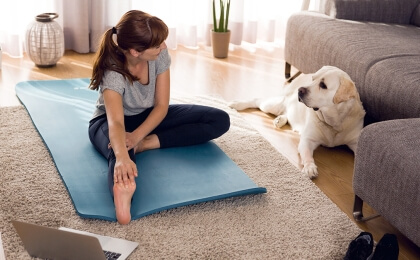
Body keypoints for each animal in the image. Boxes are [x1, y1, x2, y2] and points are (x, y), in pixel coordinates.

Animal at [230, 65, 364, 179]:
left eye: (323, 85)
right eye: (313, 79)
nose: (300, 90)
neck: (334, 122)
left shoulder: (356, 142)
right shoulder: (307, 140)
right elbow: (307, 155)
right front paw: (310, 167)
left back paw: (280, 120)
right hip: (272, 105)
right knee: (257, 100)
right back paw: (236, 104)